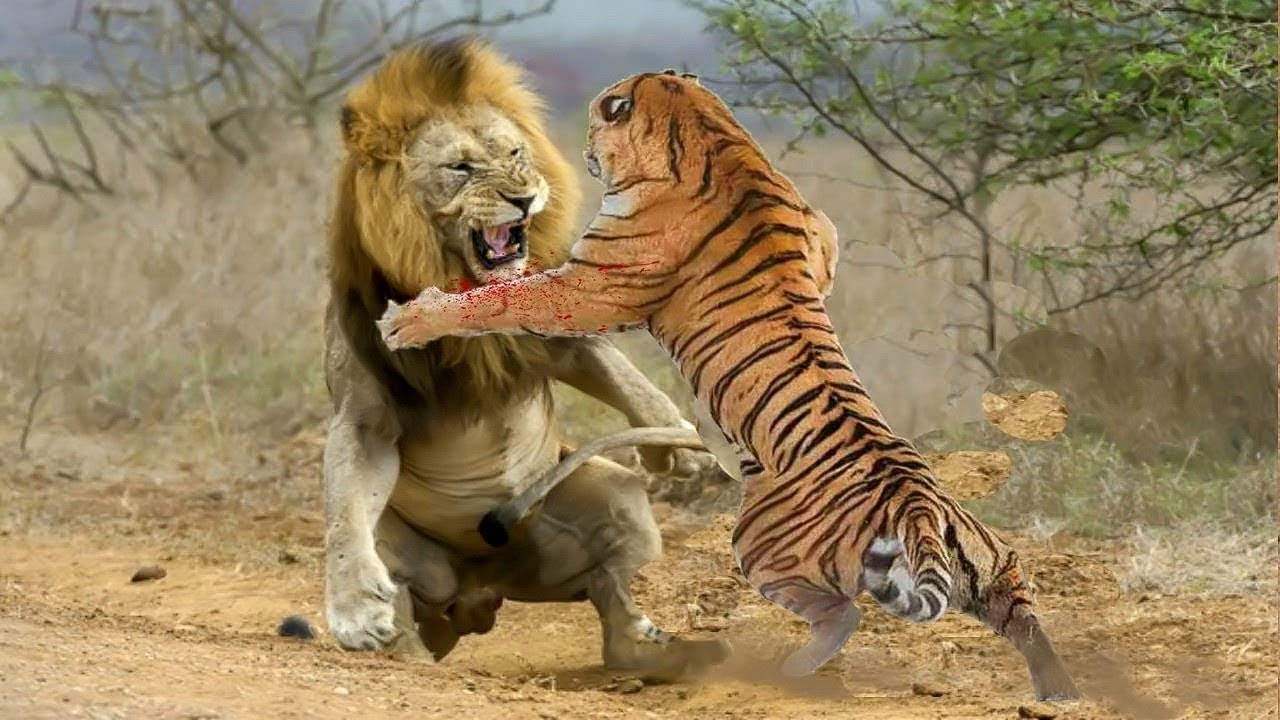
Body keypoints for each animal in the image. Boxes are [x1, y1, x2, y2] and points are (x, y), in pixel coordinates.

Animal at [375, 69, 1081, 701]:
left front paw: (411, 319)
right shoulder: (820, 234)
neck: (709, 130)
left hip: (761, 545)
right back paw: (1062, 692)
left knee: (844, 613)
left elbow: (501, 297)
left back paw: (790, 671)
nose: (581, 151)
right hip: (992, 564)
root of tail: (918, 508)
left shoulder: (592, 285)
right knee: (1023, 612)